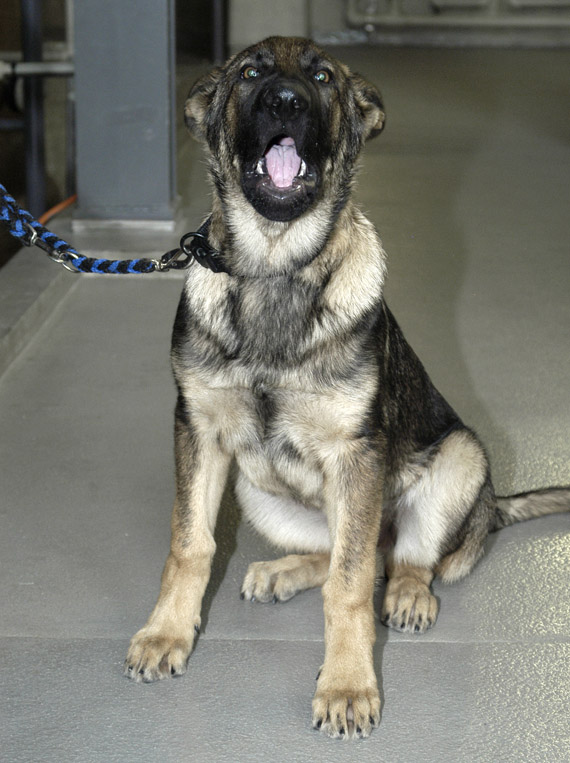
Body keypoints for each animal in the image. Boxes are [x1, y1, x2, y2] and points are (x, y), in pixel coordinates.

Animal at [125, 37, 568, 740]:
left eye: (323, 77)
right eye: (250, 72)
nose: (286, 102)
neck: (274, 267)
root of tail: (492, 512)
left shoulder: (357, 456)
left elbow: (351, 584)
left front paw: (347, 685)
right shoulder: (199, 432)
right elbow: (191, 544)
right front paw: (167, 634)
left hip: (460, 457)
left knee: (400, 560)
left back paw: (410, 594)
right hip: (257, 490)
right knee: (339, 552)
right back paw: (282, 571)